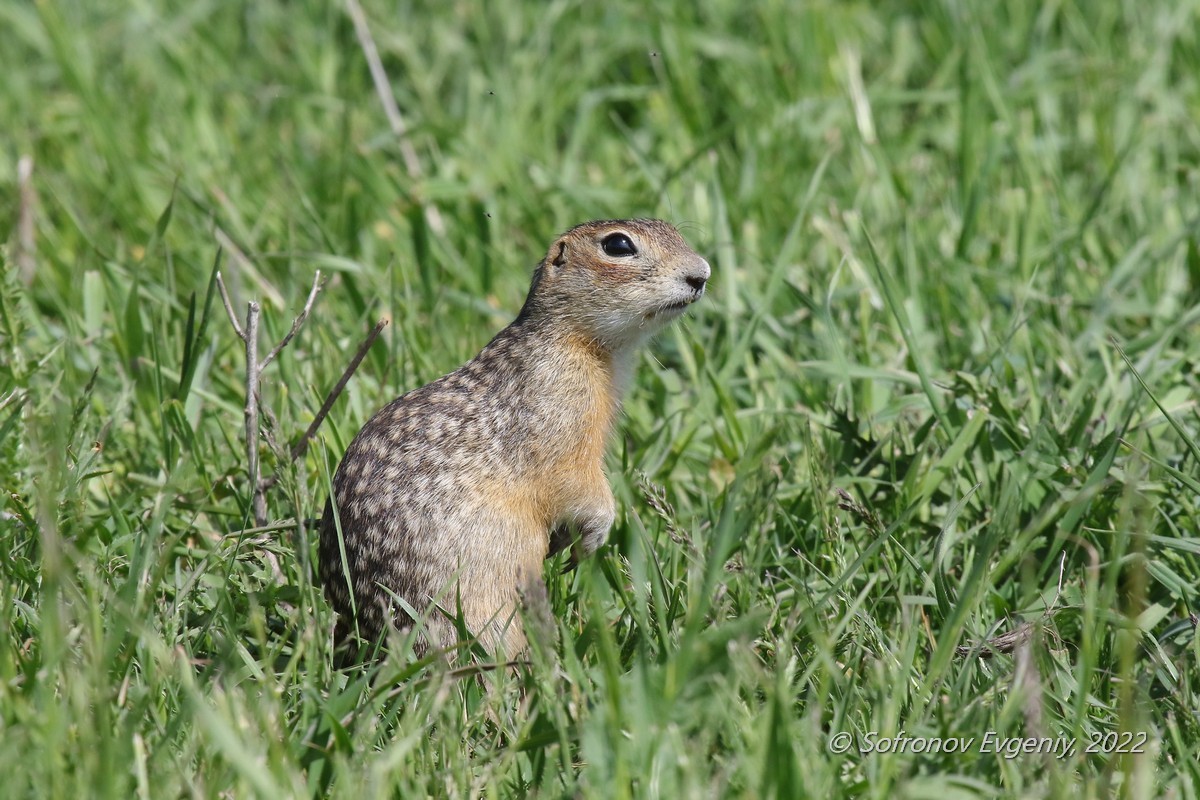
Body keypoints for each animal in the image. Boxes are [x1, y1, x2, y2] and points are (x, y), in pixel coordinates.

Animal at [319, 219, 710, 657]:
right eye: (618, 245)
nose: (702, 274)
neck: (575, 342)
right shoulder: (559, 424)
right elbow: (578, 486)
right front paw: (594, 535)